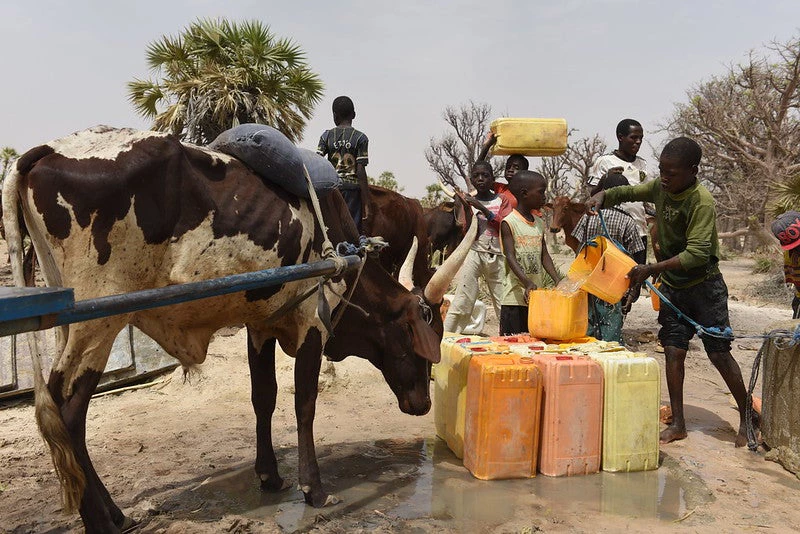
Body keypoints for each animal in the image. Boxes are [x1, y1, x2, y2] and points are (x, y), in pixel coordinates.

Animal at [1, 126, 476, 534]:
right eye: (420, 345)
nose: (421, 405)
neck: (342, 254)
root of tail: (44, 151)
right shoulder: (312, 326)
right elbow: (304, 405)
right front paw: (314, 488)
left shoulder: (260, 325)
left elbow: (263, 398)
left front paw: (269, 476)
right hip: (98, 323)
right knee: (67, 414)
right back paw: (102, 521)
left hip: (72, 323)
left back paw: (115, 514)